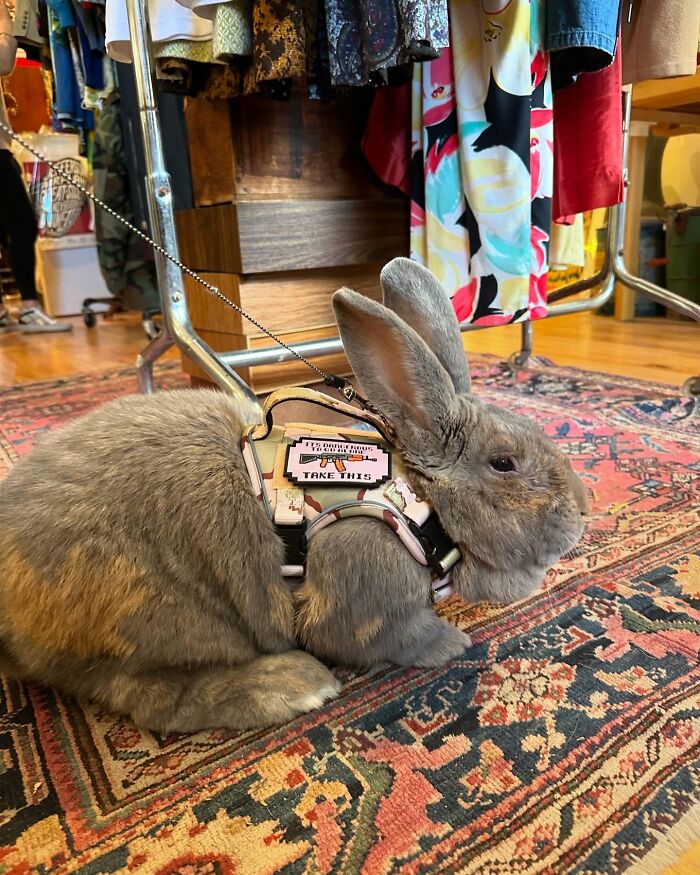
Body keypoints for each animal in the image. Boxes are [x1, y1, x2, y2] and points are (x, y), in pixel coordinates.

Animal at [0, 258, 587, 734]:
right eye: (504, 464)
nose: (583, 511)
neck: (418, 502)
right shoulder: (367, 591)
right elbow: (397, 637)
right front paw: (451, 644)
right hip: (161, 617)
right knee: (155, 698)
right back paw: (296, 684)